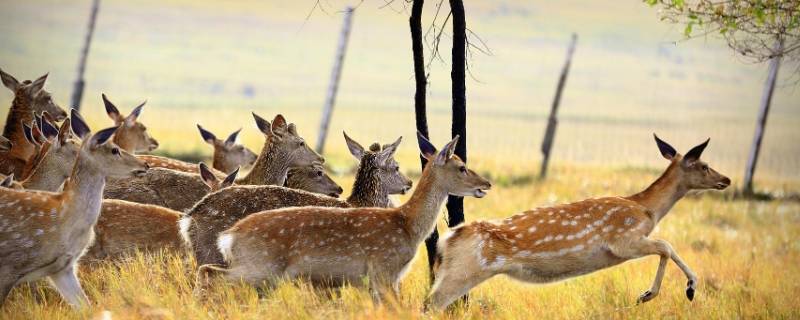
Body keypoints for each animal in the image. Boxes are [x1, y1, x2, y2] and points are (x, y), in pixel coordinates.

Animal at [424, 135, 732, 310]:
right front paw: (661, 293)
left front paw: (684, 289)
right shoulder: (623, 240)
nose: (726, 179)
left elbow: (666, 246)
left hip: (454, 271)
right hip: (466, 270)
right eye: (704, 165)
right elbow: (666, 245)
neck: (647, 210)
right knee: (431, 303)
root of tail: (448, 240)